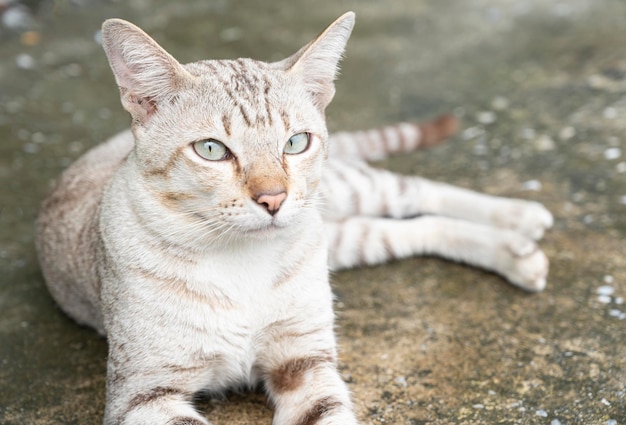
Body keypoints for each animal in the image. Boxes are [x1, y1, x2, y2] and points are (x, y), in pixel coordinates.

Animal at [34, 12, 552, 424]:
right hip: (341, 240)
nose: (274, 199)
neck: (241, 261)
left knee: (414, 190)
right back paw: (517, 250)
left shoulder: (306, 360)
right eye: (211, 150)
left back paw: (521, 215)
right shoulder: (145, 393)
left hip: (337, 198)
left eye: (296, 142)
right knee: (411, 227)